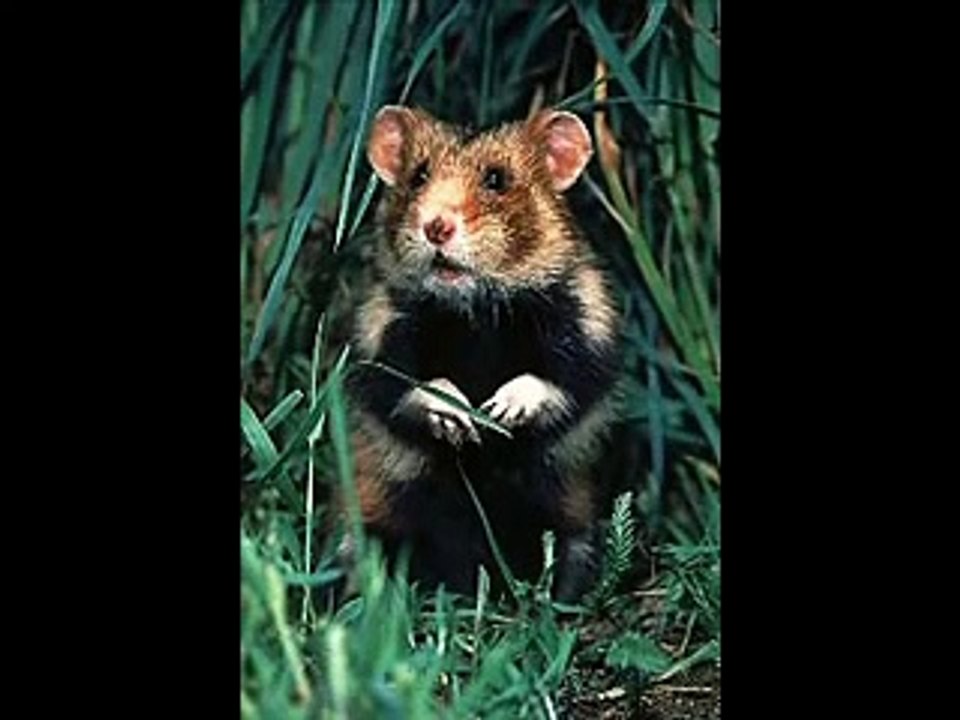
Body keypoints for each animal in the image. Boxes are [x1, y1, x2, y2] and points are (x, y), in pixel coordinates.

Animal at [342, 105, 622, 601]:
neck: (473, 313)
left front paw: (499, 411)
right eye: (418, 176)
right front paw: (459, 416)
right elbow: (407, 384)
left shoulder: (586, 331)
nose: (436, 226)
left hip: (572, 523)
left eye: (497, 179)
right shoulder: (382, 334)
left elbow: (559, 378)